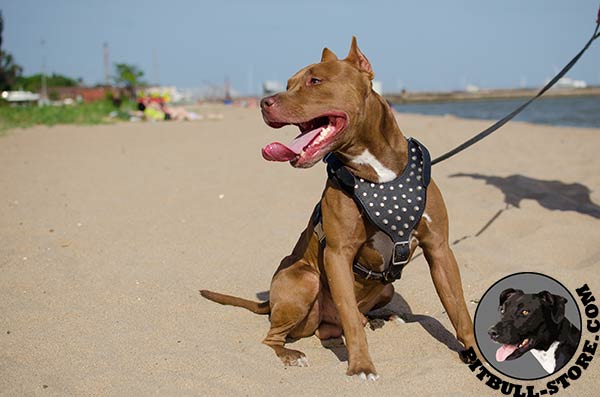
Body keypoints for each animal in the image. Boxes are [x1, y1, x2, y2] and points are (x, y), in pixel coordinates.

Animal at [204, 38, 476, 380]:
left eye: (314, 81)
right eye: (287, 84)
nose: (264, 102)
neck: (378, 172)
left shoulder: (439, 249)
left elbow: (460, 309)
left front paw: (477, 355)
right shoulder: (337, 254)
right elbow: (348, 315)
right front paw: (361, 365)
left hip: (386, 289)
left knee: (356, 316)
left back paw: (380, 318)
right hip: (305, 280)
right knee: (277, 336)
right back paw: (291, 354)